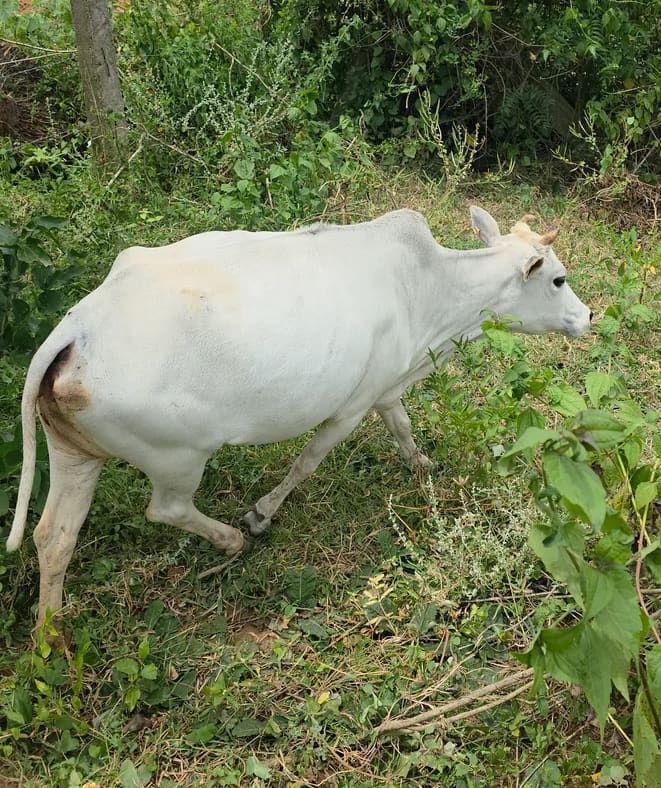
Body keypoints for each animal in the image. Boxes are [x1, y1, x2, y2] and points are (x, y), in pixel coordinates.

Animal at [6, 206, 592, 629]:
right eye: (559, 280)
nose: (588, 316)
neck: (431, 295)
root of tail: (78, 328)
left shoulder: (386, 386)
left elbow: (401, 426)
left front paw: (422, 466)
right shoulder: (352, 405)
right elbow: (308, 460)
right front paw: (260, 514)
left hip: (75, 450)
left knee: (54, 536)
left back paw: (51, 638)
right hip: (178, 456)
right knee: (166, 508)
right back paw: (231, 539)